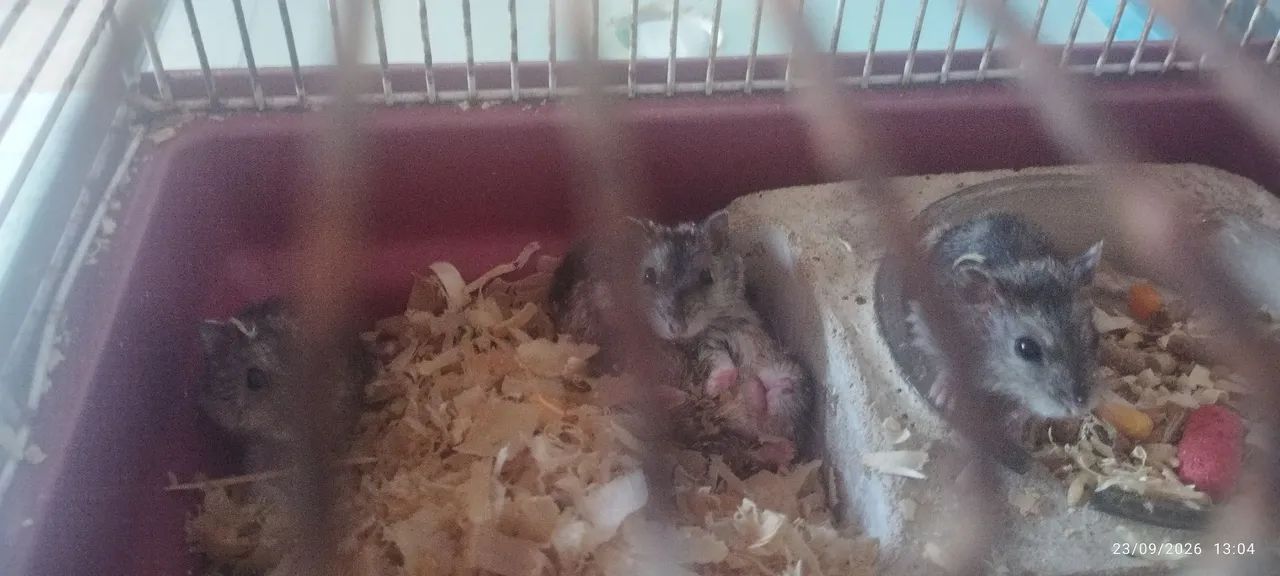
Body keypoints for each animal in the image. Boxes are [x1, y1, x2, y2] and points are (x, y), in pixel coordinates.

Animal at [549, 210, 812, 467]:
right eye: (648, 275)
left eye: (707, 276)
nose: (677, 328)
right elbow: (718, 360)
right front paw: (716, 386)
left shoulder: (721, 333)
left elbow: (719, 357)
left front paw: (714, 387)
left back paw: (782, 446)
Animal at [908, 212, 1103, 421]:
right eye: (1025, 348)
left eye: (1096, 339)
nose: (1080, 408)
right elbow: (945, 363)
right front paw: (942, 397)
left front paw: (1017, 416)